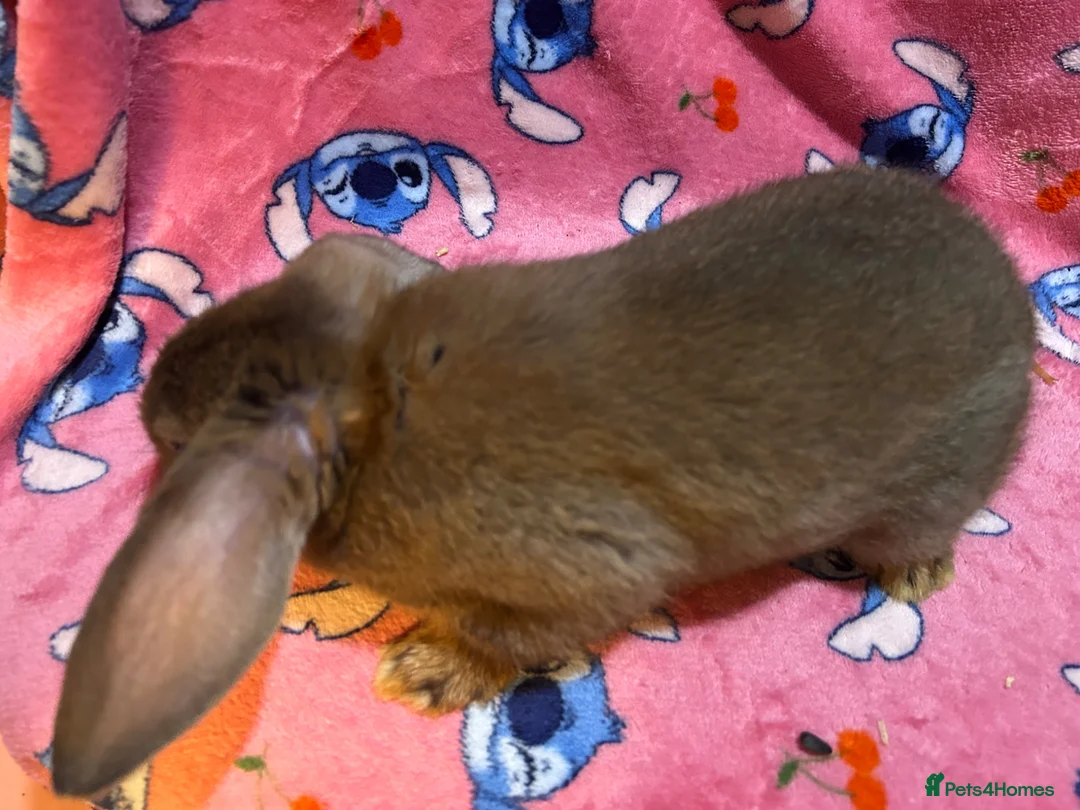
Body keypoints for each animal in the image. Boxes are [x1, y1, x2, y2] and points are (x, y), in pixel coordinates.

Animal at [52, 167, 1034, 798]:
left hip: (927, 490)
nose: (146, 401)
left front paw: (420, 673)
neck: (373, 400)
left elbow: (513, 635)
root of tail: (1020, 317)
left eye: (177, 440)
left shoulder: (583, 574)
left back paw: (911, 576)